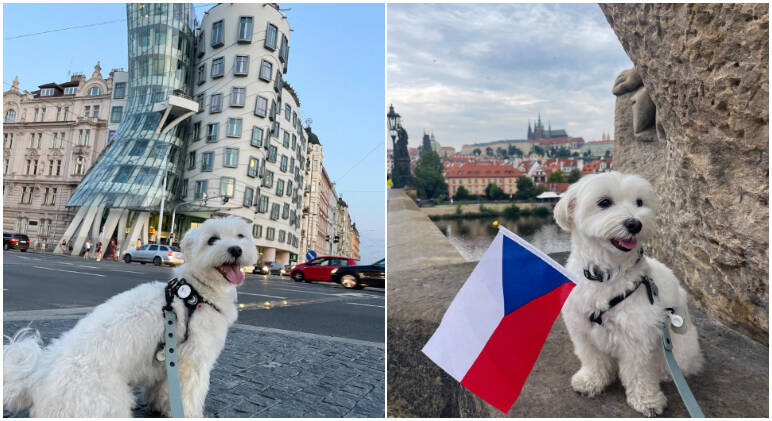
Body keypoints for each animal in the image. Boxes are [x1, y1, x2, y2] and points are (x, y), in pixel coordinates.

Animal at [3, 217, 258, 416]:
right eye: (212, 240)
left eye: (241, 236)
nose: (235, 249)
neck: (196, 292)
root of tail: (37, 378)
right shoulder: (193, 360)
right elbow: (189, 397)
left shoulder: (170, 363)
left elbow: (163, 391)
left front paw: (160, 407)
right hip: (106, 402)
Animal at [556, 172, 700, 416]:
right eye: (604, 202)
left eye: (639, 202)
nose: (635, 223)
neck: (607, 273)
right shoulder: (582, 329)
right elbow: (592, 359)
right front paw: (591, 380)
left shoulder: (637, 337)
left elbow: (639, 372)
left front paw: (647, 400)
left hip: (680, 348)